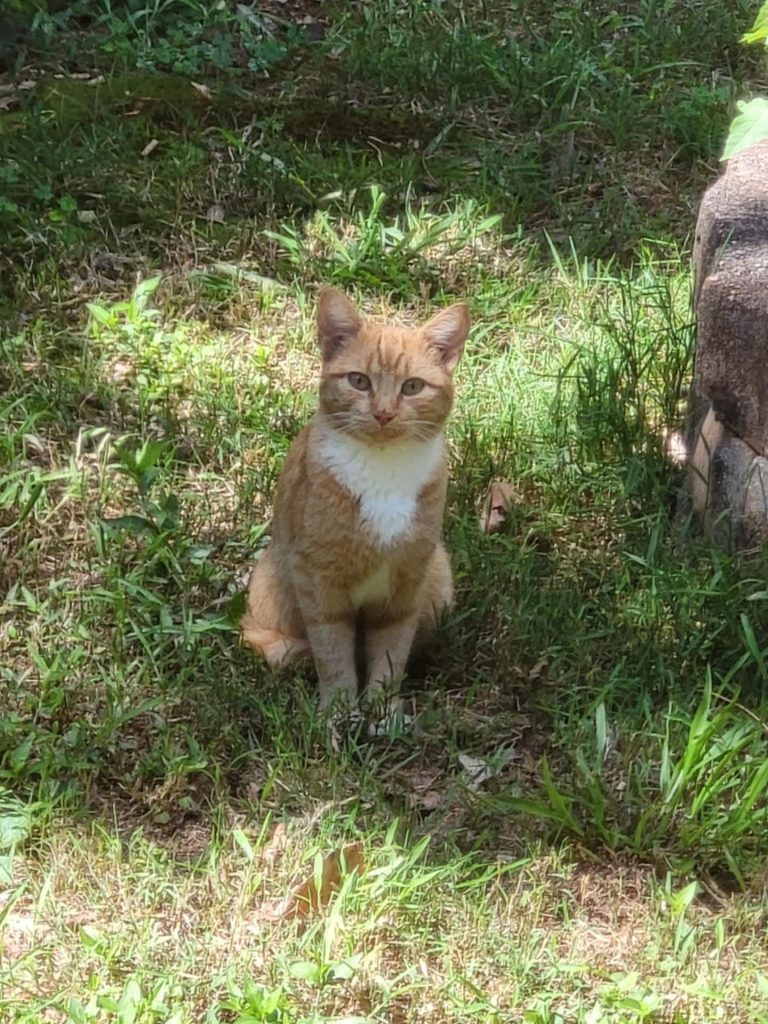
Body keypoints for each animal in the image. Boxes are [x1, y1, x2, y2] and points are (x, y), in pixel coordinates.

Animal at [240, 287, 470, 710]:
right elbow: (333, 653)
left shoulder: (408, 581)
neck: (383, 470)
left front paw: (382, 710)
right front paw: (339, 711)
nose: (383, 413)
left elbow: (392, 651)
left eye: (412, 387)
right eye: (359, 381)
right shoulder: (318, 580)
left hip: (438, 581)